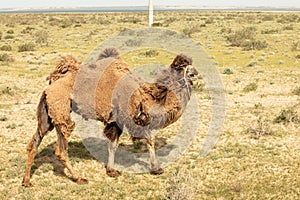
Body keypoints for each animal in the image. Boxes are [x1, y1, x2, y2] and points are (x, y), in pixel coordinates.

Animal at [21, 48, 199, 186]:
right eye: (182, 67)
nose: (195, 73)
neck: (148, 97)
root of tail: (49, 88)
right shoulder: (132, 119)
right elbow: (149, 141)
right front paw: (156, 169)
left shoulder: (115, 121)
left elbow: (113, 145)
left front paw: (111, 170)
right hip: (62, 114)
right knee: (61, 149)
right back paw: (79, 178)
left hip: (47, 116)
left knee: (34, 142)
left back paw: (26, 181)